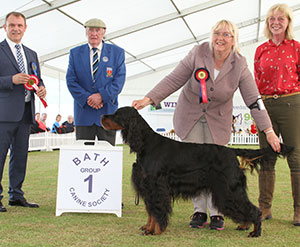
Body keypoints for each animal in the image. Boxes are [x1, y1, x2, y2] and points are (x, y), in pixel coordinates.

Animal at [101, 106, 292, 237]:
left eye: (117, 114)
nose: (102, 116)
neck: (146, 144)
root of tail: (231, 151)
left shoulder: (156, 187)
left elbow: (157, 211)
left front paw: (154, 231)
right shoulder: (148, 188)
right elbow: (151, 212)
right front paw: (148, 227)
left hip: (229, 188)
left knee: (253, 209)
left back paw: (254, 231)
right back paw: (244, 225)